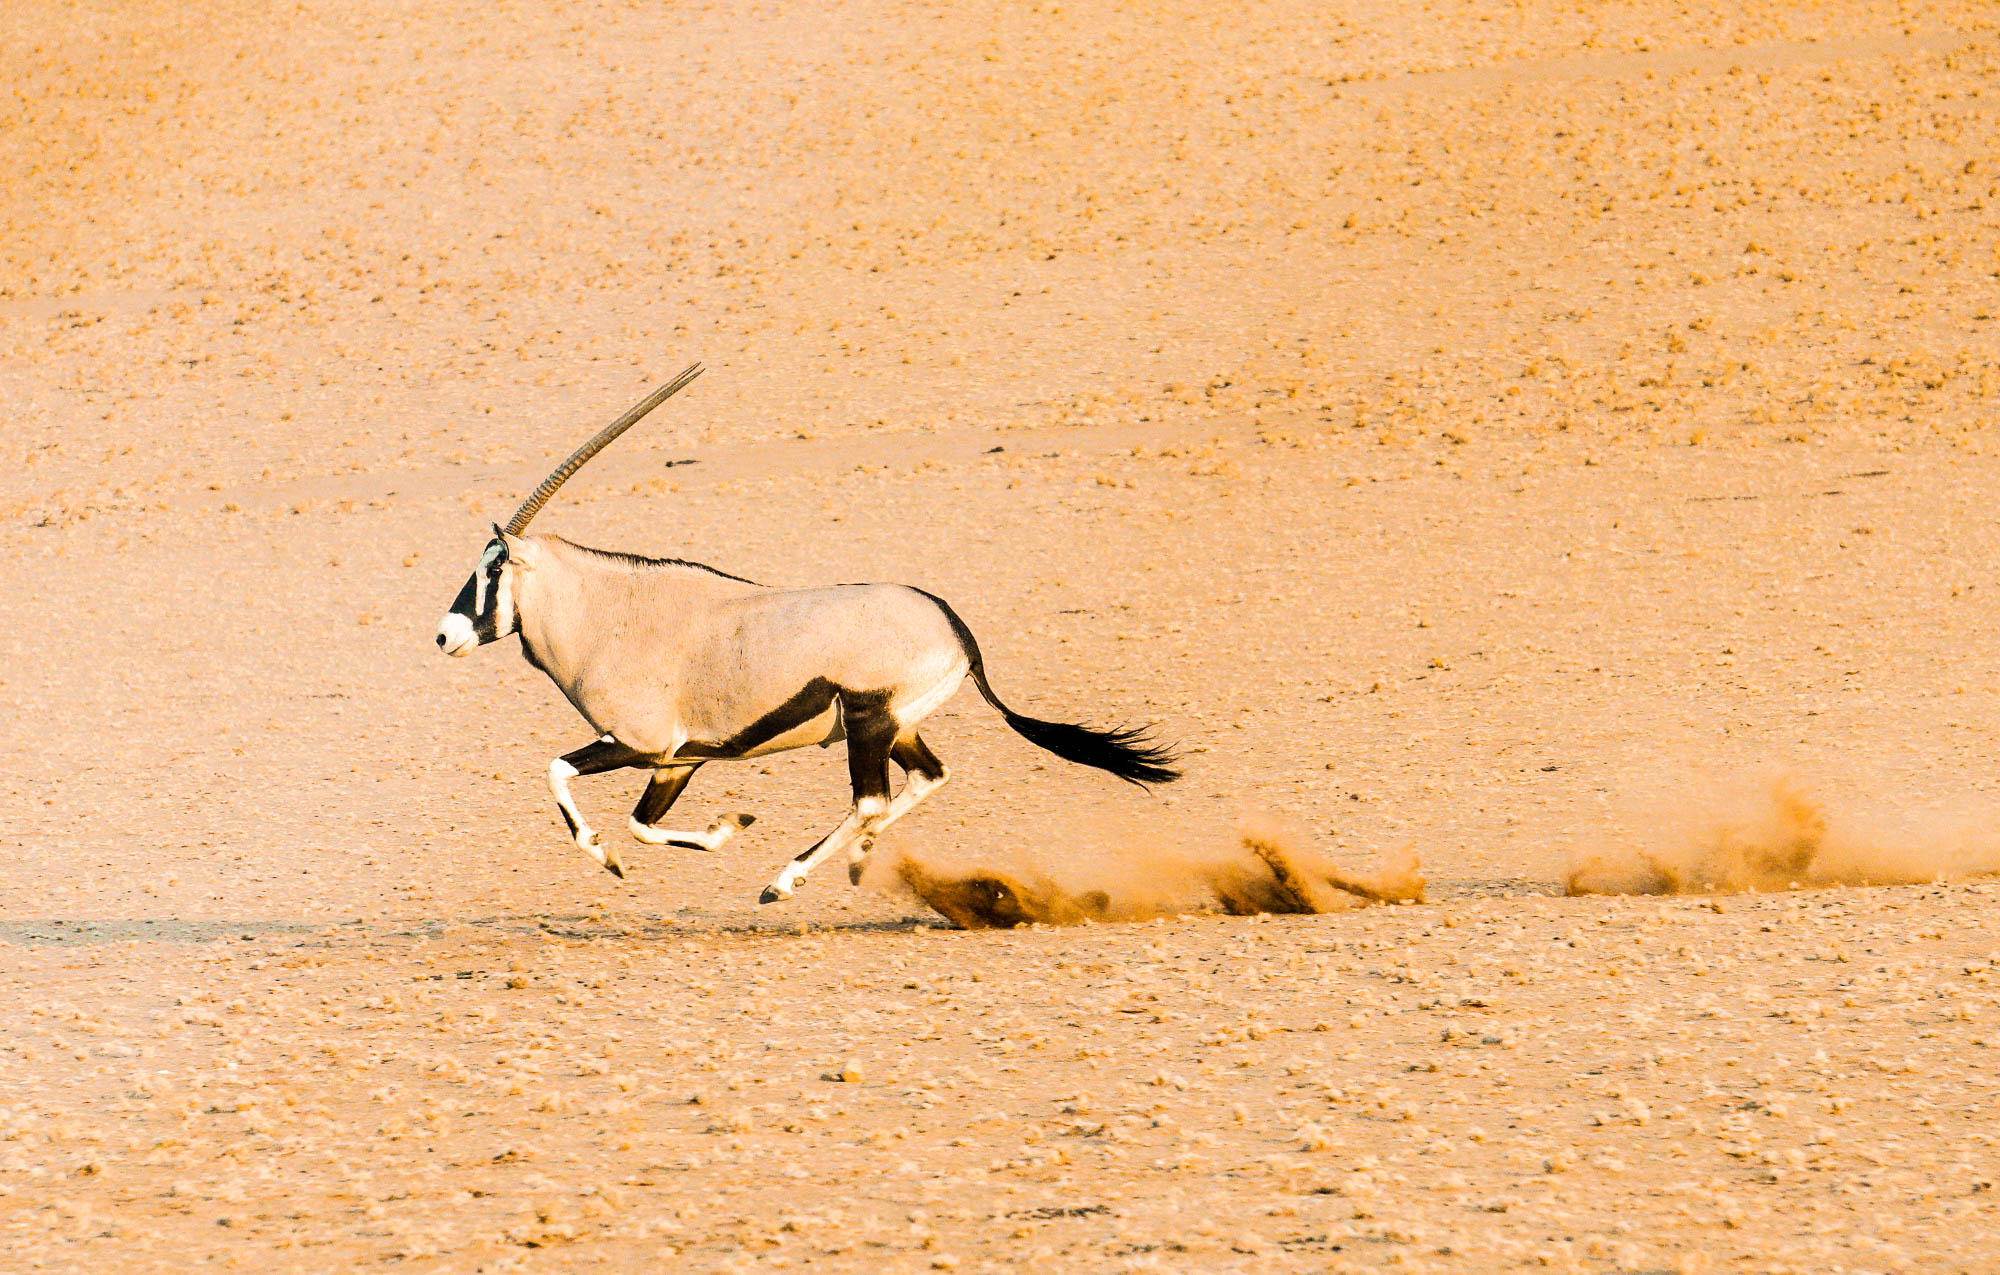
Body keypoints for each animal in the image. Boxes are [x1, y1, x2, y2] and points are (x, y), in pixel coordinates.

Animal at [438, 369, 1176, 903]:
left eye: (493, 567)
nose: (446, 636)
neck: (608, 614)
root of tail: (954, 625)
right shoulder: (678, 760)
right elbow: (643, 824)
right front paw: (726, 828)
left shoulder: (641, 746)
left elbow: (565, 777)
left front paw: (613, 859)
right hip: (895, 726)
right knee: (925, 778)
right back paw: (857, 858)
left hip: (869, 721)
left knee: (872, 798)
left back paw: (785, 881)